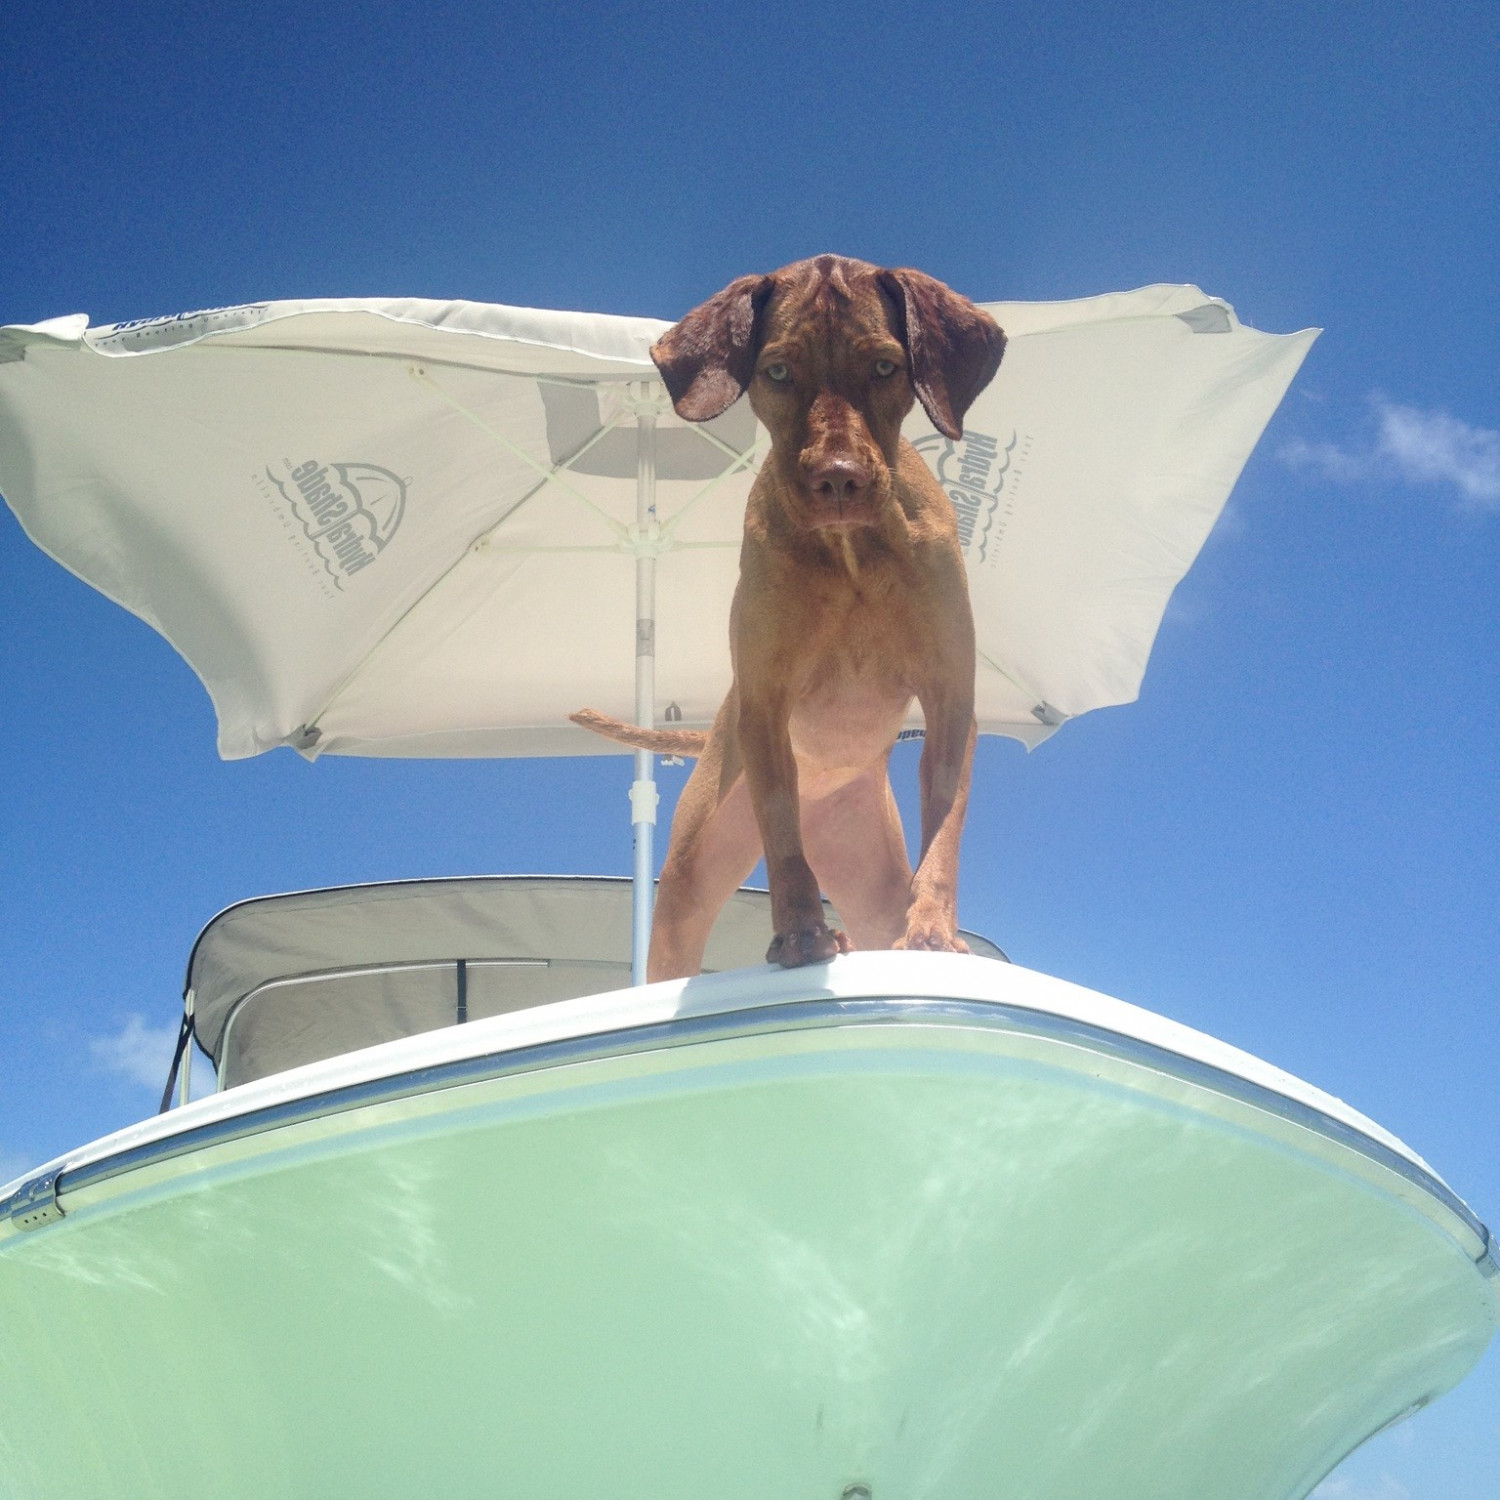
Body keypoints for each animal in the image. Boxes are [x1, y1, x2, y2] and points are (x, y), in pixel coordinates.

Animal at [573, 255, 1008, 984]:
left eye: (885, 365)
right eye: (777, 371)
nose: (838, 479)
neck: (851, 550)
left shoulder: (952, 696)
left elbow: (945, 828)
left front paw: (933, 930)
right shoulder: (764, 703)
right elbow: (782, 835)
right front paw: (802, 932)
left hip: (866, 867)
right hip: (691, 876)